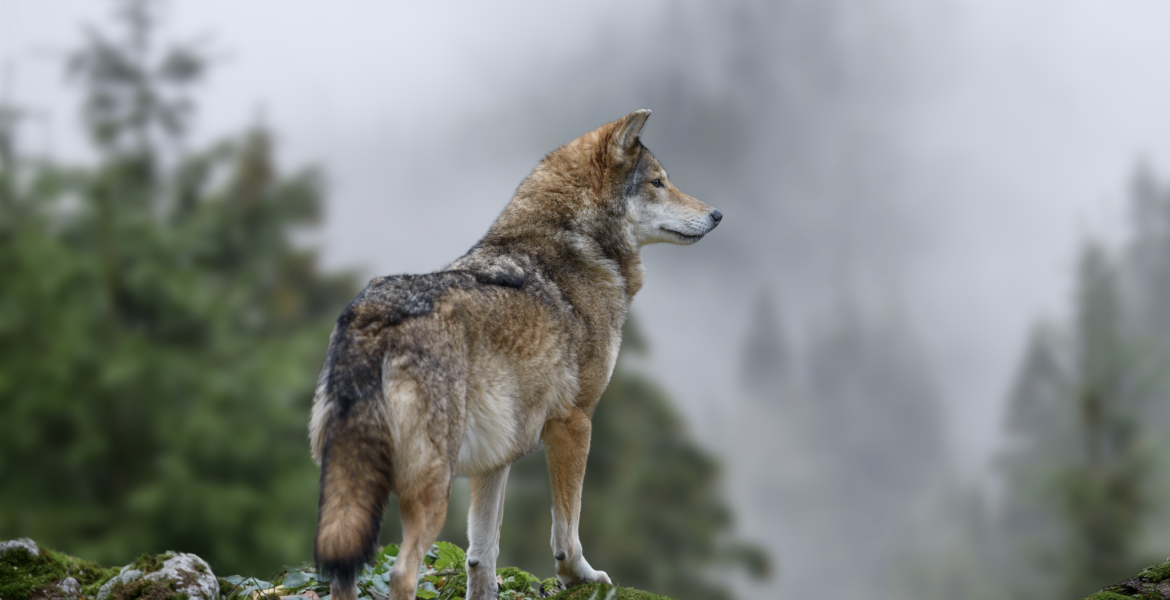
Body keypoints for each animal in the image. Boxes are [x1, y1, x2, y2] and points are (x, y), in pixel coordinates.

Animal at [309, 109, 721, 600]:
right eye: (658, 182)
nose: (717, 214)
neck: (574, 246)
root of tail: (374, 318)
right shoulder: (573, 423)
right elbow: (567, 528)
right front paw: (579, 576)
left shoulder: (498, 454)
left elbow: (482, 553)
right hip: (431, 487)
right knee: (401, 573)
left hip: (352, 489)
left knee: (343, 572)